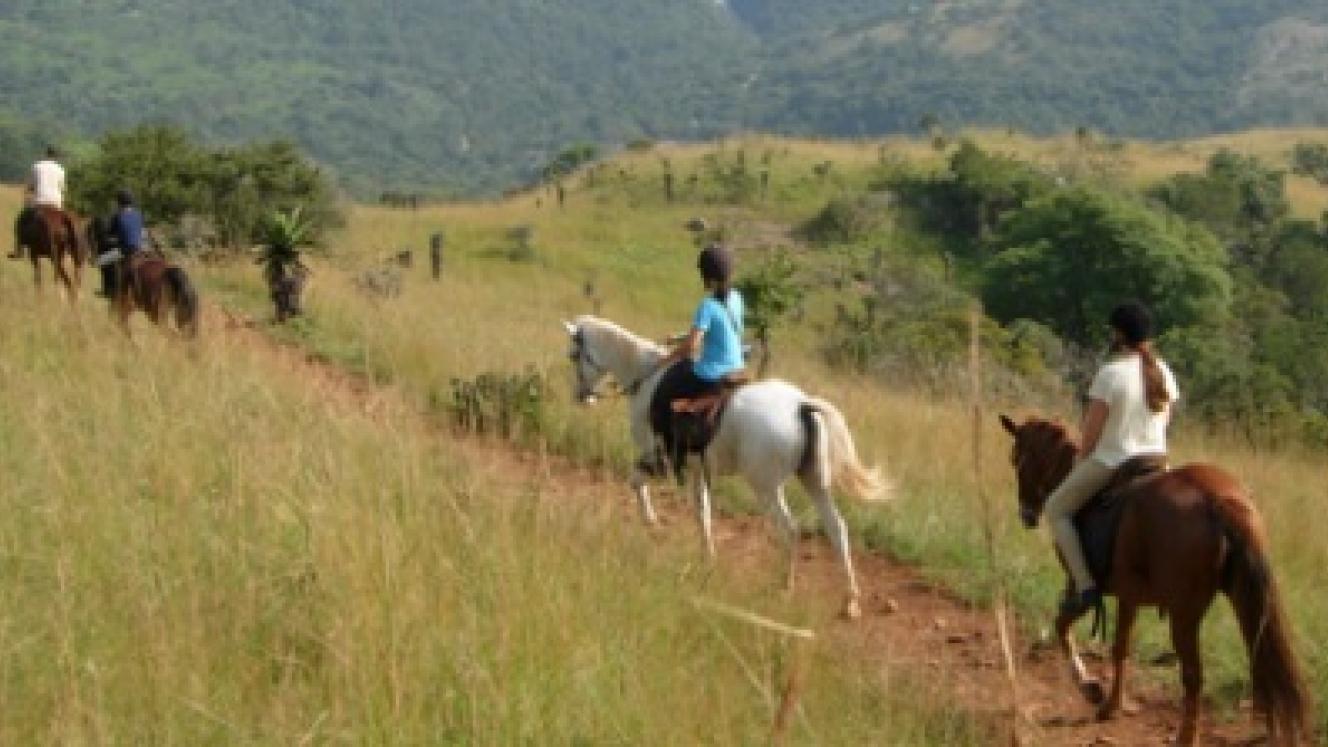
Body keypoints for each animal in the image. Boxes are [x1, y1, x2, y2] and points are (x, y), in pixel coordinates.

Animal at [563, 315, 893, 619]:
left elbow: (636, 481)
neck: (646, 377)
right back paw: (850, 600)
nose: (582, 397)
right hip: (814, 481)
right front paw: (707, 557)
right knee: (837, 529)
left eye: (573, 354)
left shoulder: (657, 456)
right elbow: (703, 513)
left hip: (766, 488)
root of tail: (801, 406)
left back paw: (785, 586)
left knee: (789, 530)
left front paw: (651, 522)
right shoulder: (697, 469)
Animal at [999, 415, 1310, 746]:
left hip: (1184, 614)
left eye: (1015, 459)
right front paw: (1111, 705)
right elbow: (1120, 648)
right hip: (1243, 600)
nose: (1026, 515)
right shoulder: (1129, 597)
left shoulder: (1077, 585)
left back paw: (1186, 737)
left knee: (1193, 675)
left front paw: (1089, 687)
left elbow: (1062, 626)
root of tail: (1216, 499)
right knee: (1260, 665)